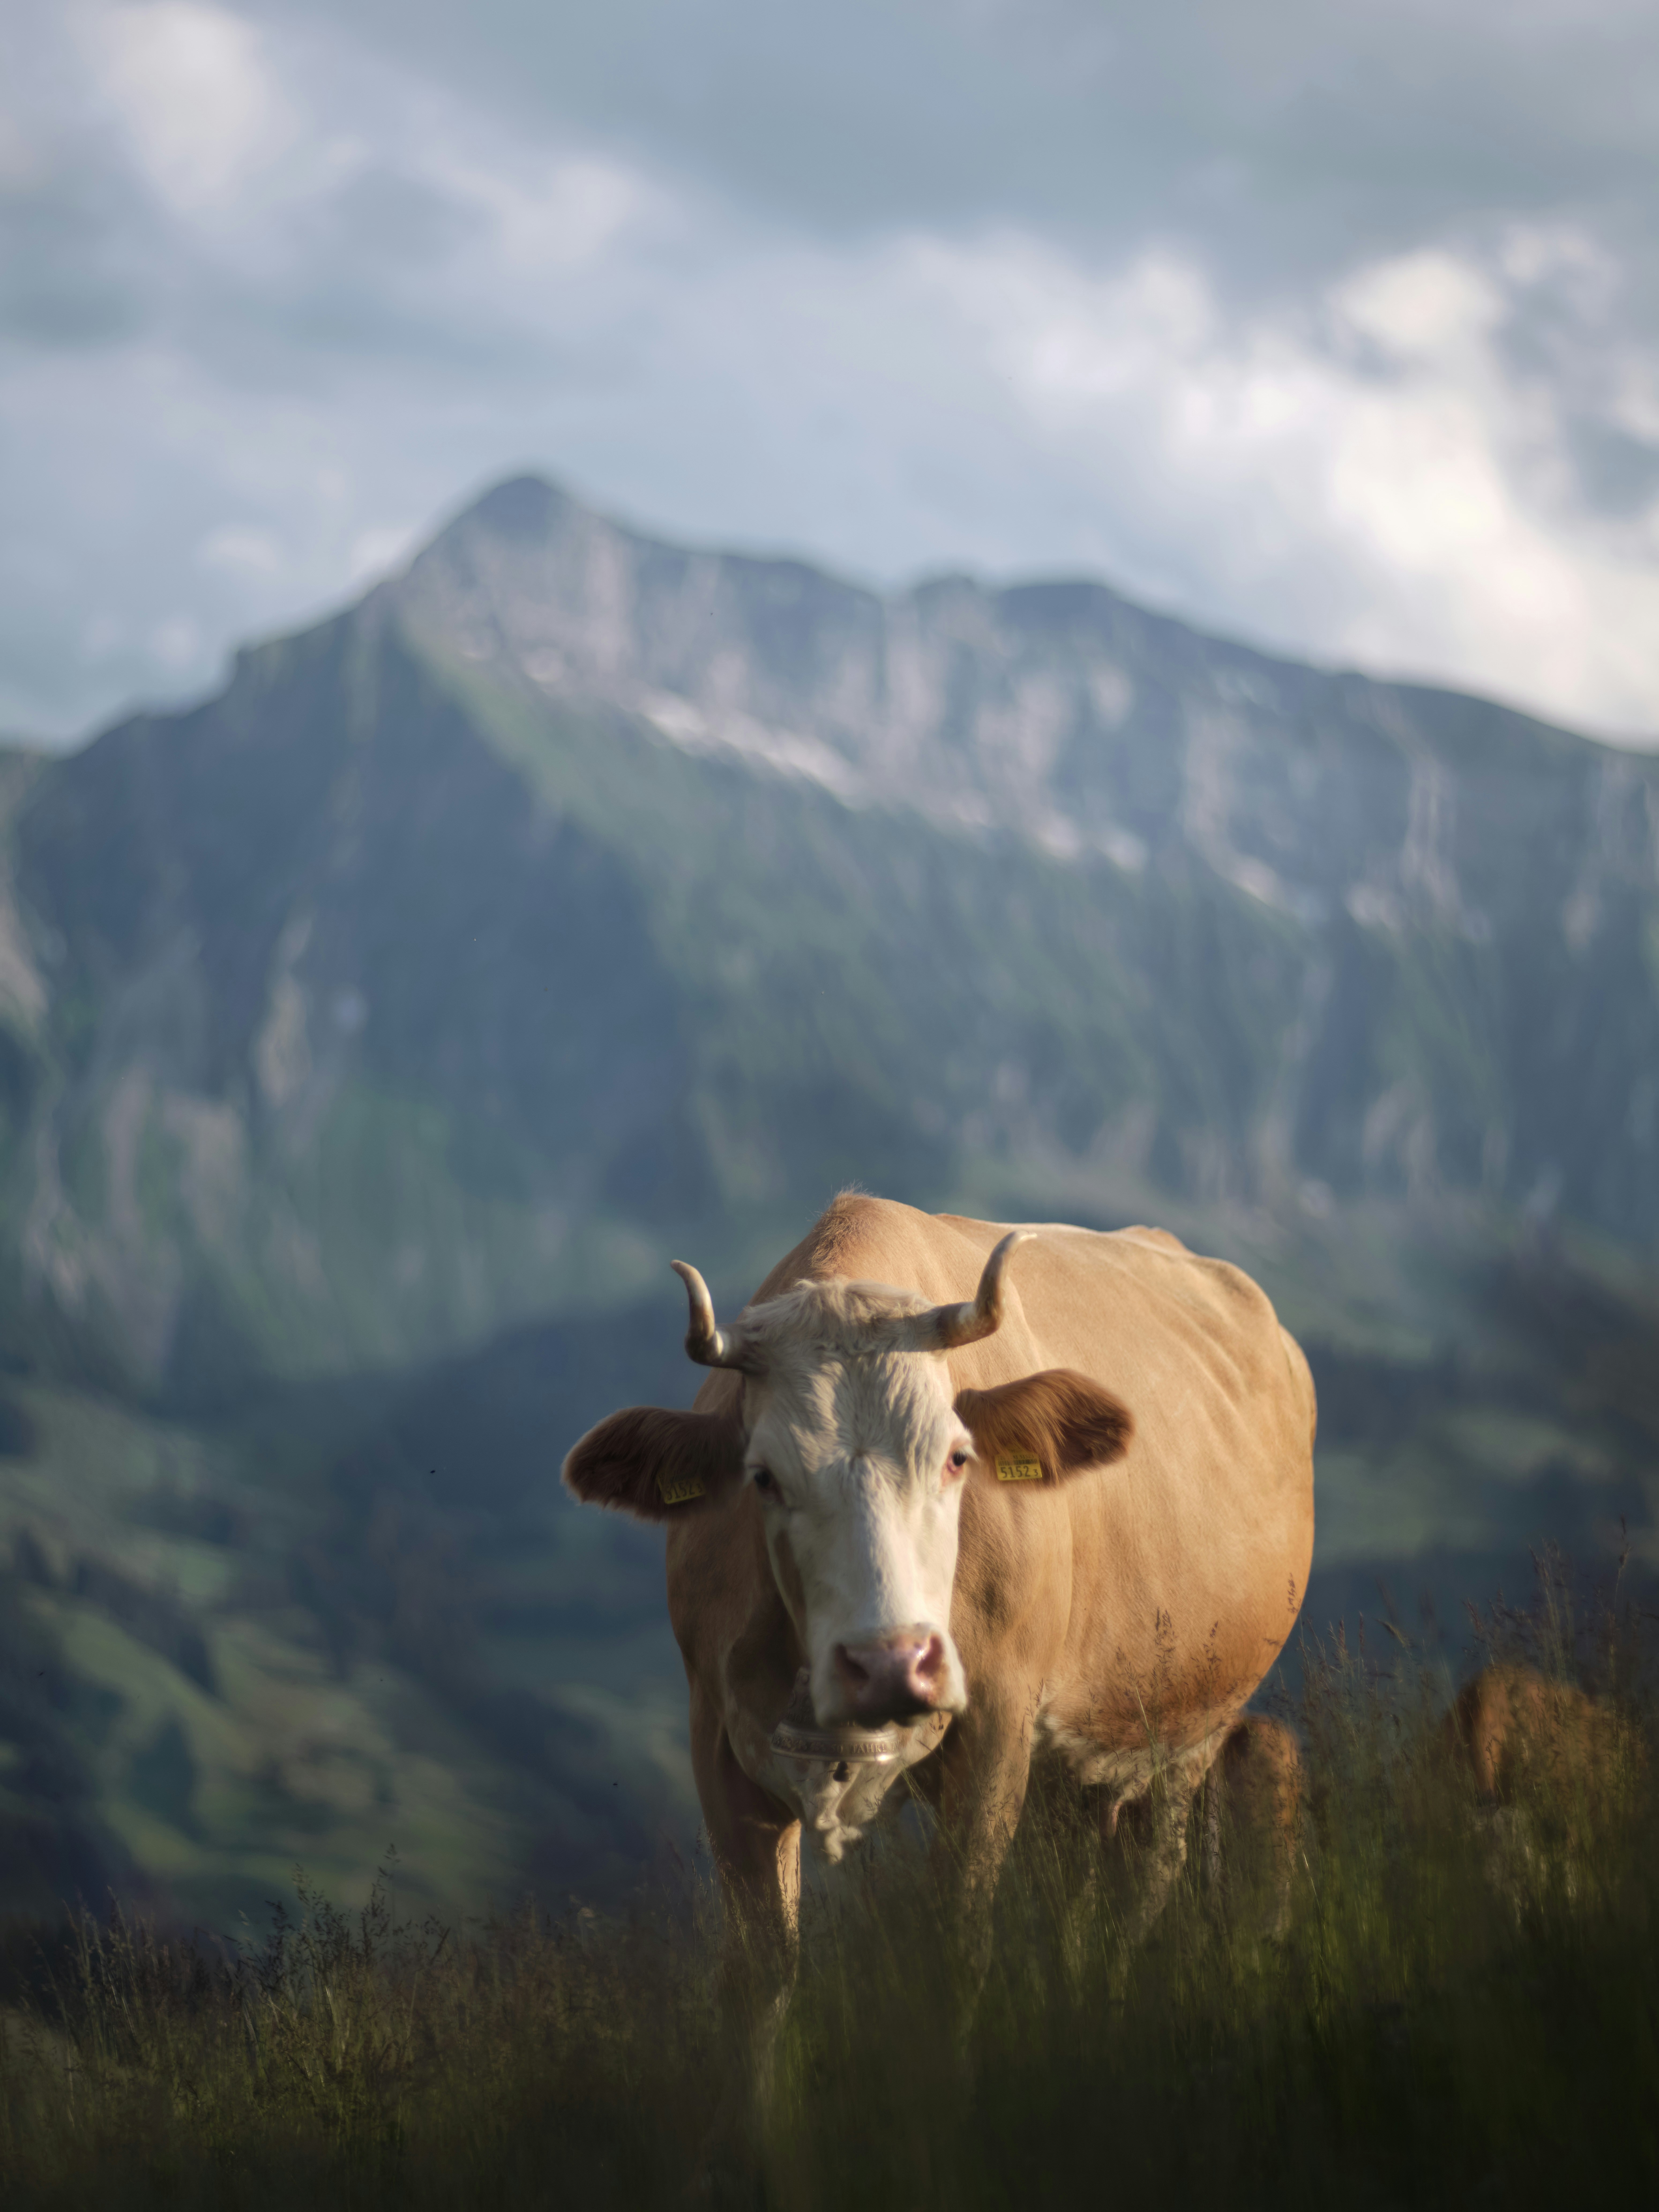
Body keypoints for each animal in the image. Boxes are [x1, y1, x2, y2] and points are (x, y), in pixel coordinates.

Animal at [563, 1194, 1316, 2103]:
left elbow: (955, 1947)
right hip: (1078, 1779)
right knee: (1076, 1912)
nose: (890, 1664)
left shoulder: (997, 1731)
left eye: (959, 1458)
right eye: (763, 1476)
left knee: (1139, 1893)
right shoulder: (717, 1735)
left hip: (1186, 1731)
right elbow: (758, 1973)